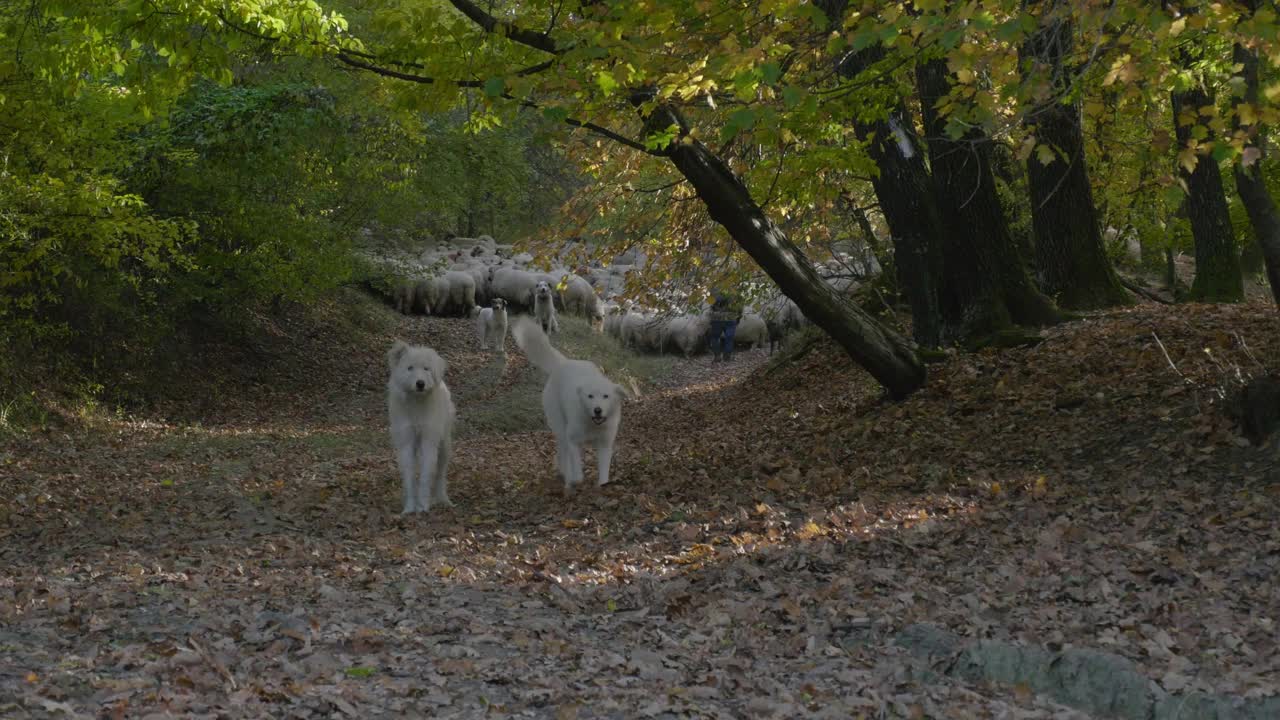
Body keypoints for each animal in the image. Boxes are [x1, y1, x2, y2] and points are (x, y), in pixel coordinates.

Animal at [384, 338, 455, 512]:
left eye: (426, 368)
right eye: (410, 368)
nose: (420, 384)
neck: (416, 403)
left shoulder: (429, 442)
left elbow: (424, 477)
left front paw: (423, 506)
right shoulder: (407, 444)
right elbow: (410, 478)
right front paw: (410, 508)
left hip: (444, 447)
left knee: (440, 475)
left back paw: (443, 499)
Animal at [509, 319, 629, 491]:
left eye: (606, 396)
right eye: (590, 396)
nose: (597, 410)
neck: (592, 423)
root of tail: (563, 363)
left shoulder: (605, 445)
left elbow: (603, 472)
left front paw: (602, 485)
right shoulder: (573, 440)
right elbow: (577, 470)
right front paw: (575, 479)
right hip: (560, 428)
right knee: (563, 453)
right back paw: (565, 475)